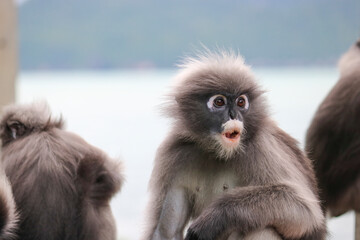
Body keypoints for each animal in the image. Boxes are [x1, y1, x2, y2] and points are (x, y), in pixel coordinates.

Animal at [143, 52, 326, 240]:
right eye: (219, 102)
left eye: (240, 102)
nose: (234, 115)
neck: (216, 152)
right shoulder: (173, 153)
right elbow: (164, 231)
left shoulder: (262, 145)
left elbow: (304, 210)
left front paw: (213, 219)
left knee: (263, 228)